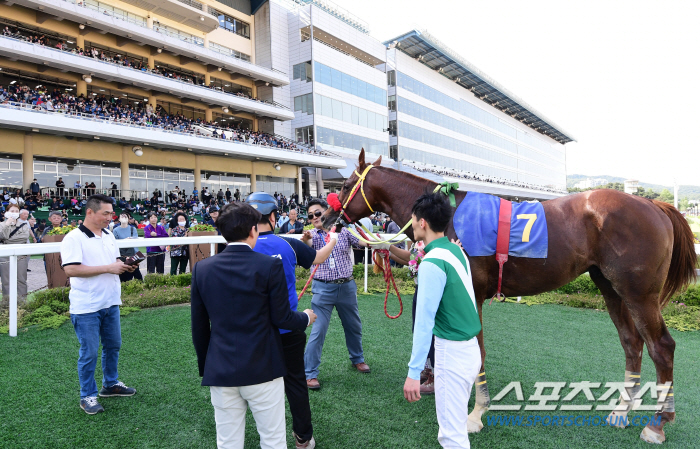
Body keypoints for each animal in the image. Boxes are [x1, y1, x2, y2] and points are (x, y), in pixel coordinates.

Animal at [322, 150, 696, 440]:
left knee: (661, 346)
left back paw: (658, 423)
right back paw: (621, 411)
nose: (324, 217)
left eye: (345, 185)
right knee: (632, 343)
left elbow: (478, 350)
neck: (448, 215)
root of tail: (655, 205)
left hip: (639, 293)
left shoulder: (471, 292)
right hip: (610, 286)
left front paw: (474, 414)